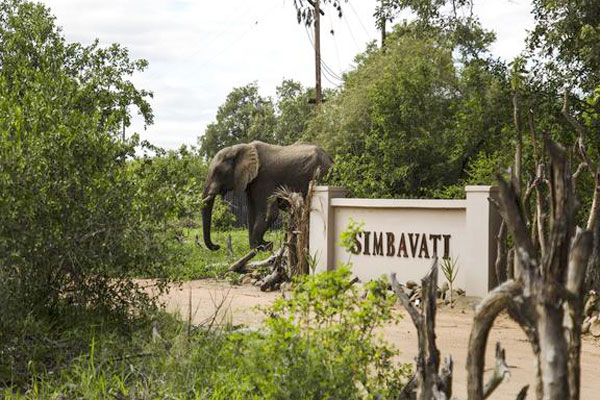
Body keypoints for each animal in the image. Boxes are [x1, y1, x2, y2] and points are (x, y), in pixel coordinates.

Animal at [202, 141, 332, 250]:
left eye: (218, 172)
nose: (217, 246)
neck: (241, 148)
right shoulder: (252, 181)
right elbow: (251, 213)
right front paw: (255, 249)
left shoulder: (264, 178)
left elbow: (269, 213)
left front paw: (263, 246)